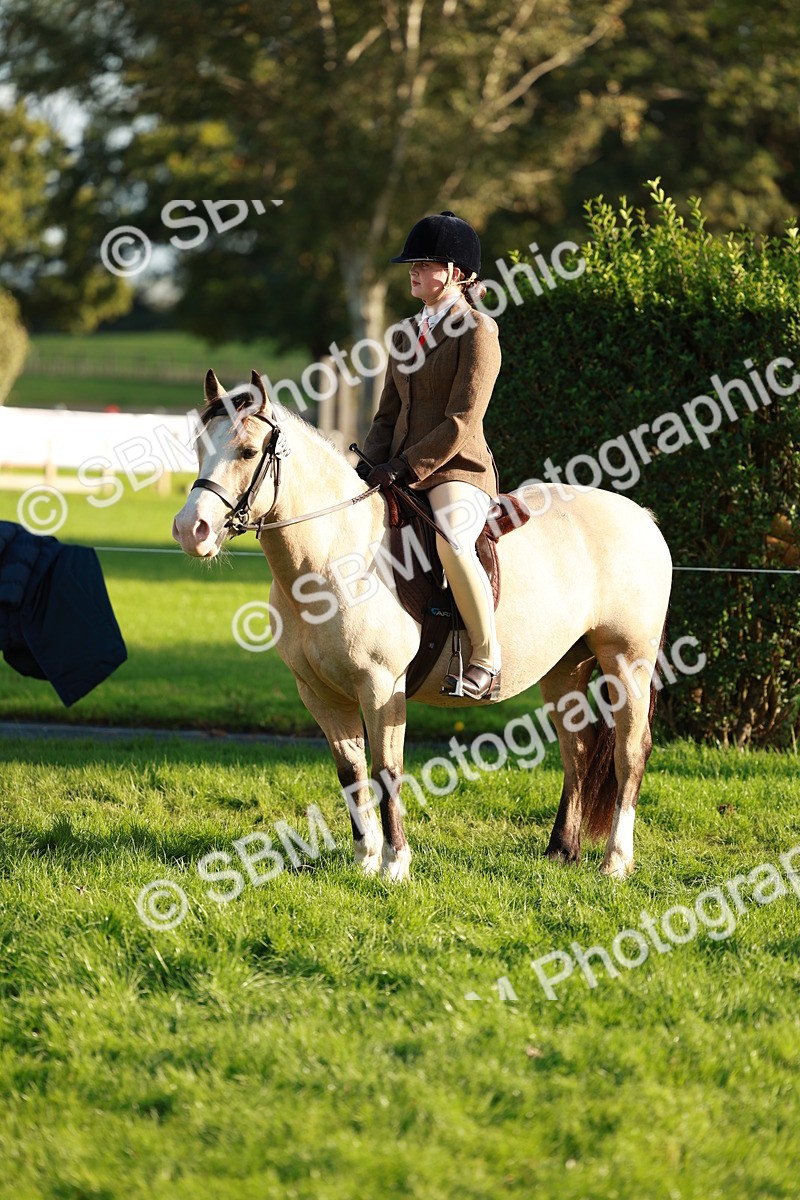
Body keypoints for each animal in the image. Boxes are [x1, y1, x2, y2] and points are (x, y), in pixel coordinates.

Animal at [173, 370, 673, 882]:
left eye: (248, 451)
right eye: (198, 447)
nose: (191, 530)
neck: (332, 558)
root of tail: (640, 516)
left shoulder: (380, 686)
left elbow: (386, 771)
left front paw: (396, 865)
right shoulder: (321, 694)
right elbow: (351, 774)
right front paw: (365, 861)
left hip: (626, 660)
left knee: (629, 753)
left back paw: (615, 862)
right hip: (564, 669)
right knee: (577, 753)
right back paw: (561, 851)